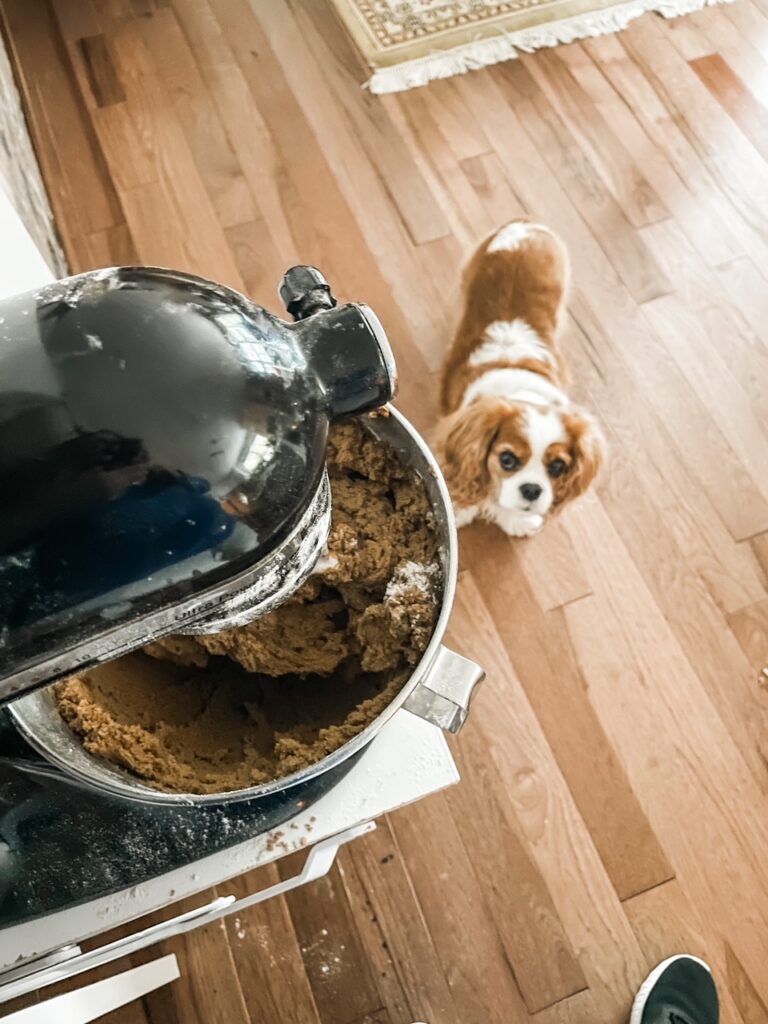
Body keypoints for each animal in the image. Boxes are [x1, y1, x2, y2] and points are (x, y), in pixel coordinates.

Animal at [434, 221, 606, 540]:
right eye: (508, 460)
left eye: (558, 467)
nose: (531, 490)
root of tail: (527, 225)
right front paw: (460, 510)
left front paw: (518, 519)